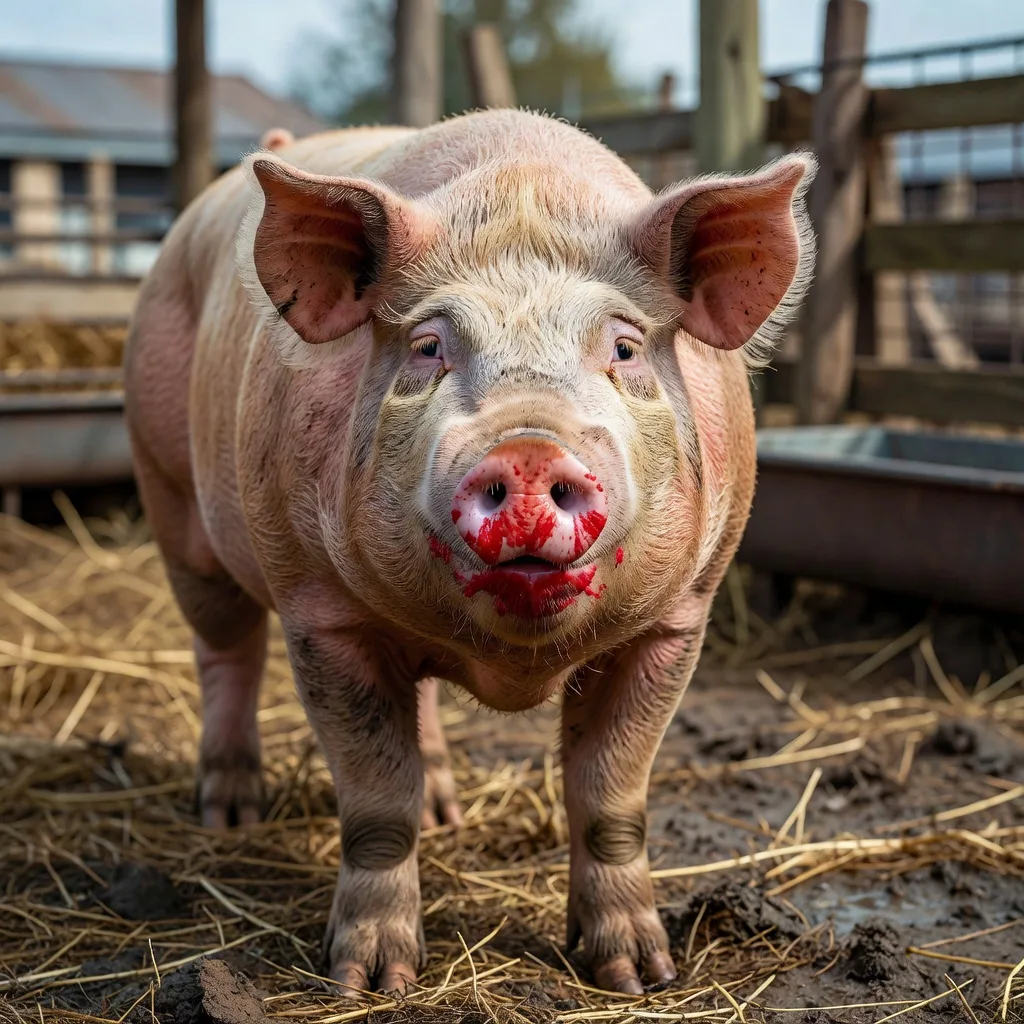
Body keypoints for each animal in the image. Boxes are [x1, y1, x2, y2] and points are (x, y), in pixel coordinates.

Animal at [124, 109, 815, 997]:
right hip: (170, 491)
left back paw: (444, 812)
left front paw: (638, 976)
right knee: (226, 651)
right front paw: (369, 982)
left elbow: (611, 795)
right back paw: (231, 814)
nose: (527, 446)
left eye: (625, 349)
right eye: (427, 347)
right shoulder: (322, 612)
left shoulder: (680, 617)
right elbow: (376, 801)